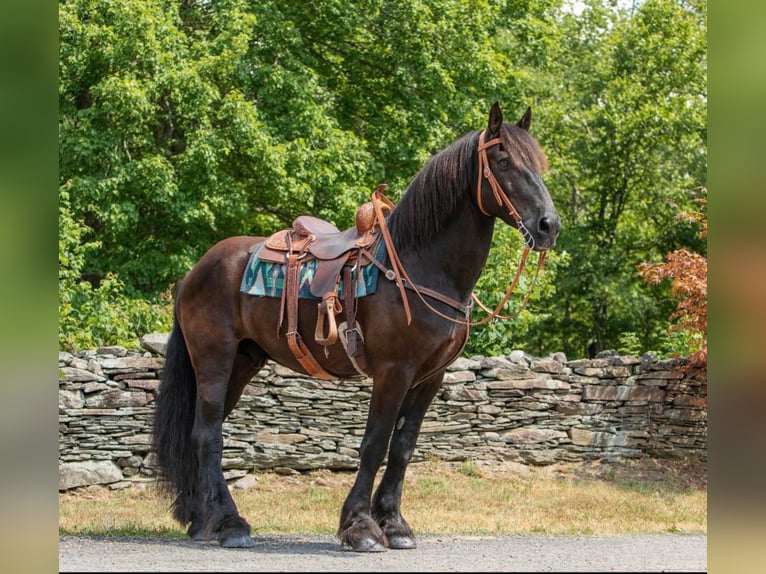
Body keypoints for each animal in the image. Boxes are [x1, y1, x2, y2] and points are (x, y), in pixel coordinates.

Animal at [152, 102, 560, 552]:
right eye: (503, 161)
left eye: (538, 164)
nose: (548, 225)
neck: (419, 265)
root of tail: (196, 271)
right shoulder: (393, 371)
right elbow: (374, 444)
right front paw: (361, 526)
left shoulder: (430, 377)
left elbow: (403, 446)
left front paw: (394, 524)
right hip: (215, 358)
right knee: (208, 434)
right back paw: (229, 524)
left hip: (243, 361)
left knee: (199, 432)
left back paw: (199, 518)